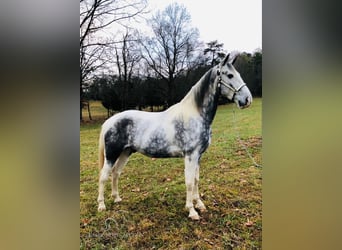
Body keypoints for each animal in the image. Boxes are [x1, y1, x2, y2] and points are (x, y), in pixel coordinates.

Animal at [96, 52, 251, 219]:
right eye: (229, 75)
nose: (247, 99)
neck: (195, 115)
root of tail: (110, 121)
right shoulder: (190, 155)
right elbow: (189, 182)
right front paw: (192, 211)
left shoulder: (198, 156)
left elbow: (196, 179)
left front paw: (200, 205)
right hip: (112, 155)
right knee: (104, 176)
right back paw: (101, 205)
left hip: (125, 152)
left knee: (116, 173)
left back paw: (117, 198)